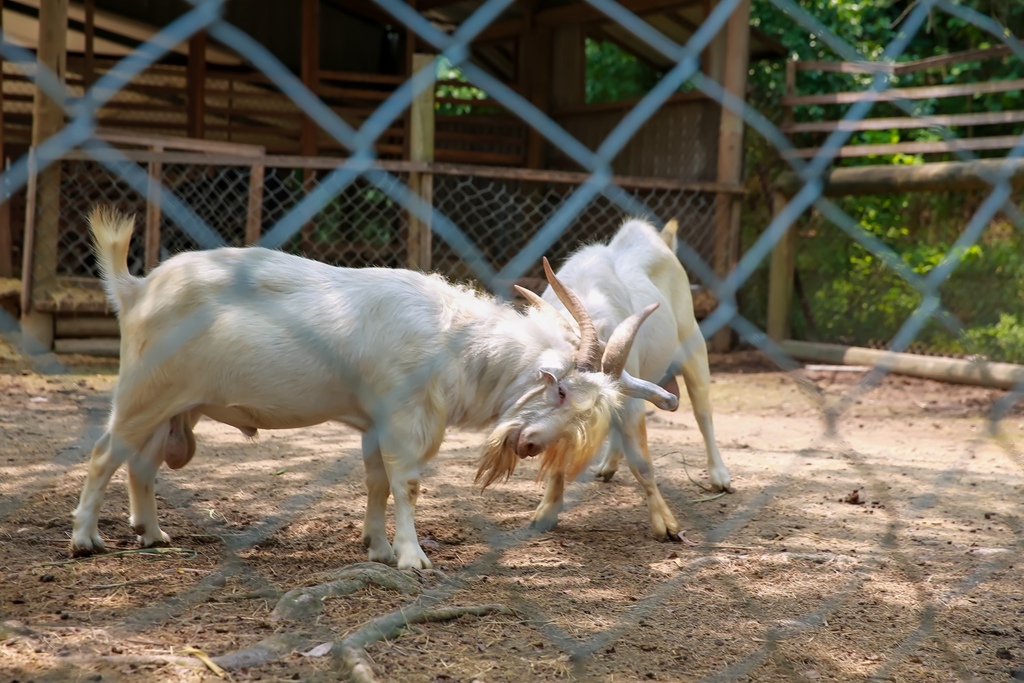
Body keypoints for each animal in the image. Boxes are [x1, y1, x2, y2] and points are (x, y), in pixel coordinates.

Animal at [72, 205, 663, 569]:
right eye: (560, 391)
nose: (532, 445)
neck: (453, 342)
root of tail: (137, 288)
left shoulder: (373, 424)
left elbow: (376, 482)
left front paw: (376, 547)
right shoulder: (403, 418)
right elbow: (407, 483)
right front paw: (411, 557)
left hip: (177, 408)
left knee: (141, 465)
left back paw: (153, 535)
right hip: (142, 394)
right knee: (103, 455)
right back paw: (85, 541)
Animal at [520, 219, 729, 544]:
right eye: (560, 392)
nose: (670, 400)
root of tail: (663, 241)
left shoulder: (629, 401)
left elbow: (642, 462)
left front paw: (667, 524)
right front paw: (546, 511)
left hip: (694, 347)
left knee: (702, 411)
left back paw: (720, 476)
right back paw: (608, 465)